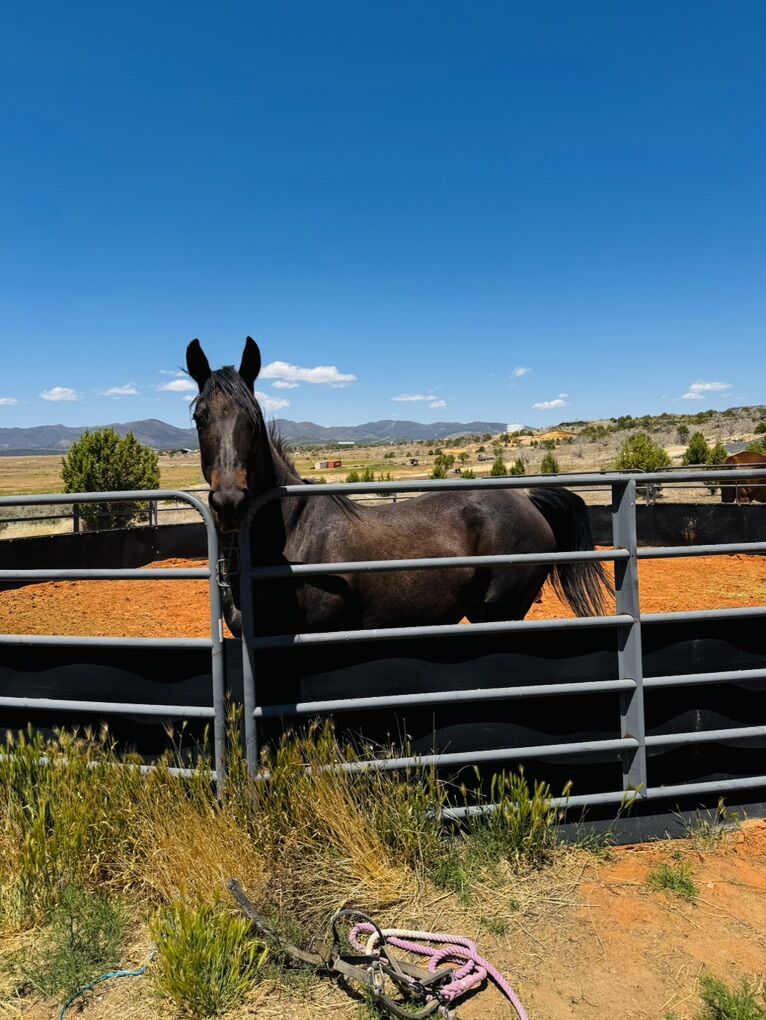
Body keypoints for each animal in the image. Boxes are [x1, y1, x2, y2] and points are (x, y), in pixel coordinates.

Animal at [186, 338, 610, 637]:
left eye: (253, 420)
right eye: (199, 417)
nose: (229, 503)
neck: (295, 534)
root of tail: (528, 500)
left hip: (503, 610)